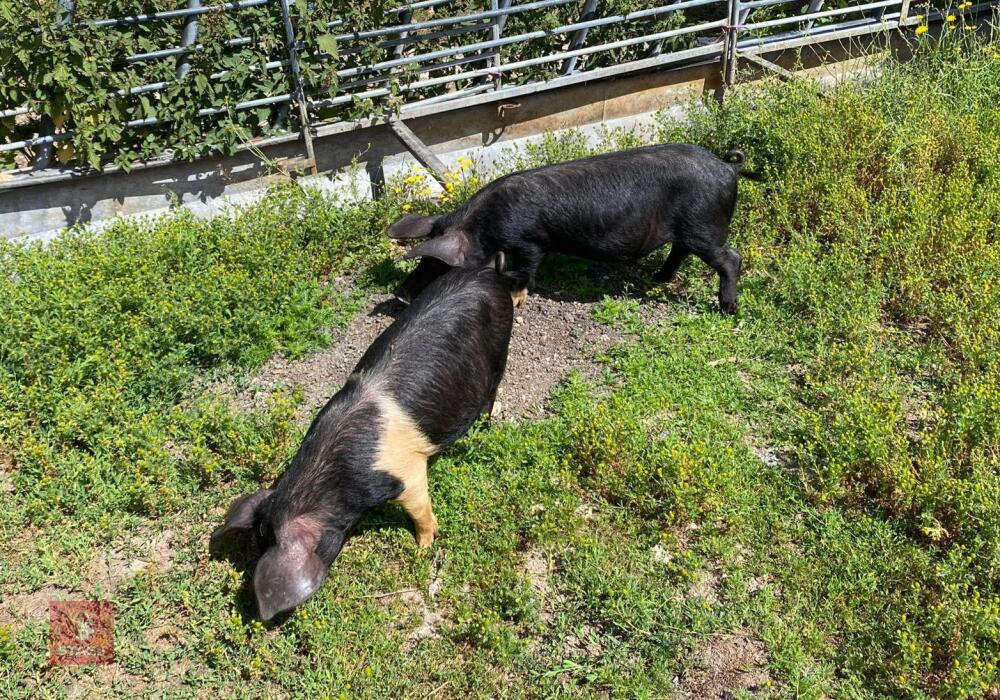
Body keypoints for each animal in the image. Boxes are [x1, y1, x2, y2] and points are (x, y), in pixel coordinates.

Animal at [210, 261, 513, 621]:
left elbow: (421, 508)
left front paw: (423, 549)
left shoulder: (407, 470)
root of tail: (489, 273)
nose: (264, 621)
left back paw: (484, 426)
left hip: (501, 346)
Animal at [387, 144, 763, 314]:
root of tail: (728, 167)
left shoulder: (530, 241)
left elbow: (526, 269)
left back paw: (728, 309)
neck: (484, 225)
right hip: (690, 229)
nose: (399, 295)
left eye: (438, 265)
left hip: (705, 225)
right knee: (680, 250)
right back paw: (657, 278)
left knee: (730, 257)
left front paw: (516, 297)